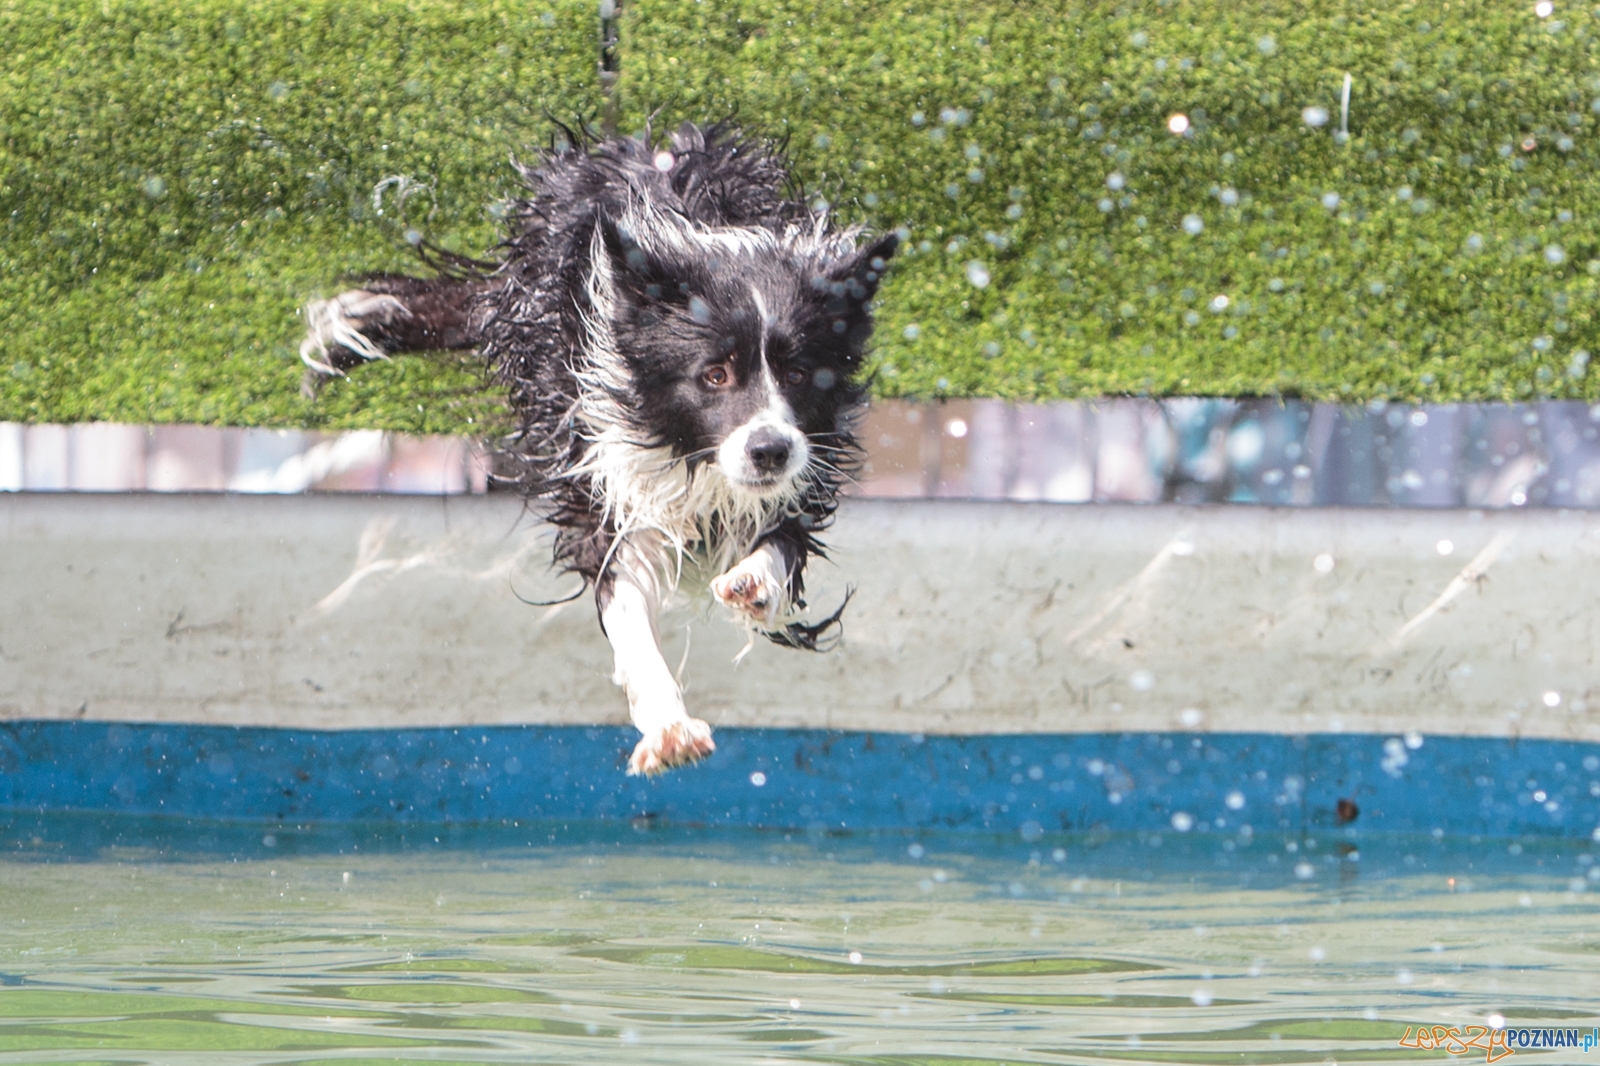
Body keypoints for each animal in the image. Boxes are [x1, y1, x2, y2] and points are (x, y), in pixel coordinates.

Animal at [296, 120, 896, 771]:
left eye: (798, 374)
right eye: (715, 375)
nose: (769, 451)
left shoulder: (804, 471)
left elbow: (782, 548)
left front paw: (754, 584)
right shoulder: (603, 478)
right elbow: (627, 610)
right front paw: (668, 726)